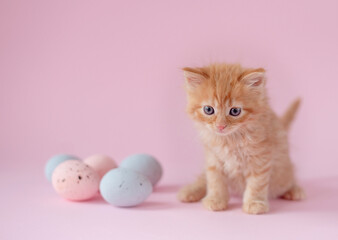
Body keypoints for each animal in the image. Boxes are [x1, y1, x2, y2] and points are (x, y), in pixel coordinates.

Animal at [178, 62, 304, 215]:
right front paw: (215, 199)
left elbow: (257, 183)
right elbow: (214, 180)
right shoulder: (213, 158)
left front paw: (254, 203)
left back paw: (294, 190)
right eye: (208, 110)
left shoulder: (261, 159)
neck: (229, 140)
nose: (220, 126)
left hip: (282, 173)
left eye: (235, 111)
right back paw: (191, 190)